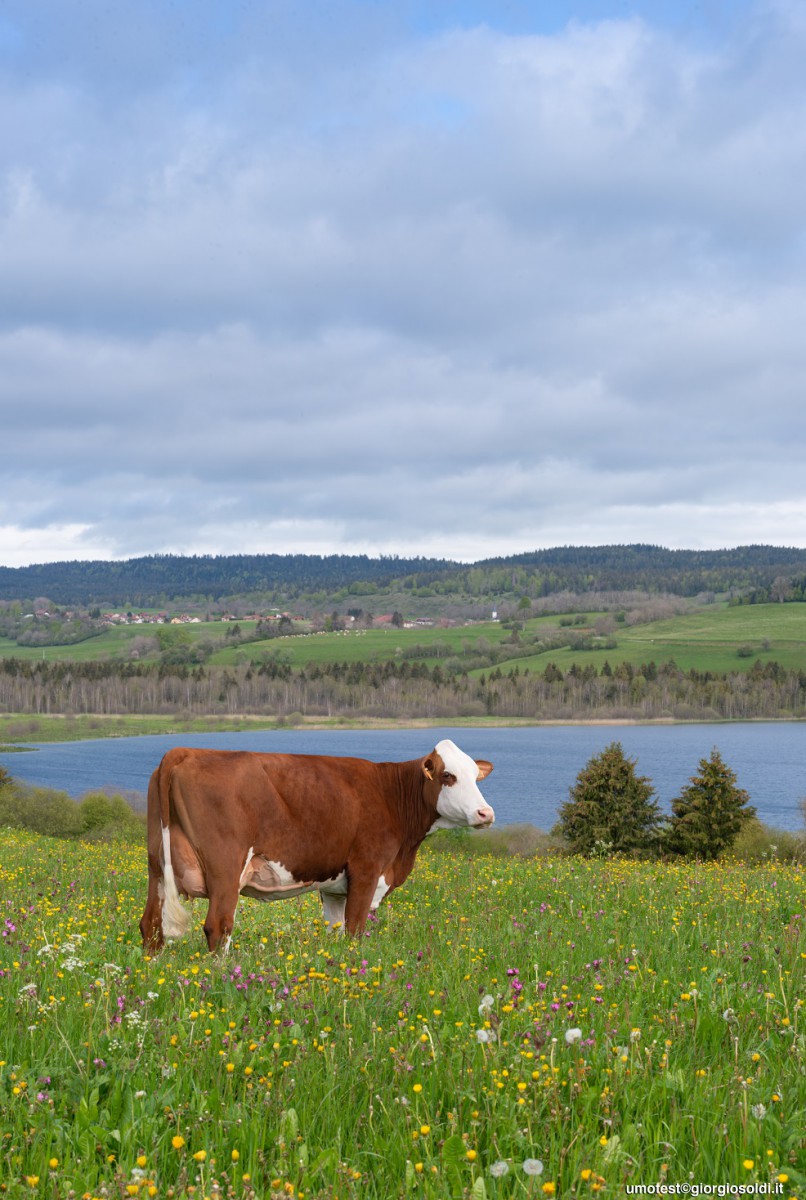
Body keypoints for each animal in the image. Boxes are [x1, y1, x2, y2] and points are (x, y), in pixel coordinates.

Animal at [138, 729, 491, 955]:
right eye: (448, 776)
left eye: (476, 776)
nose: (485, 813)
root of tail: (183, 752)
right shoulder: (366, 870)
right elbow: (354, 930)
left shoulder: (335, 888)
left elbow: (335, 930)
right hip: (225, 867)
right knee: (218, 926)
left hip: (157, 866)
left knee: (151, 925)